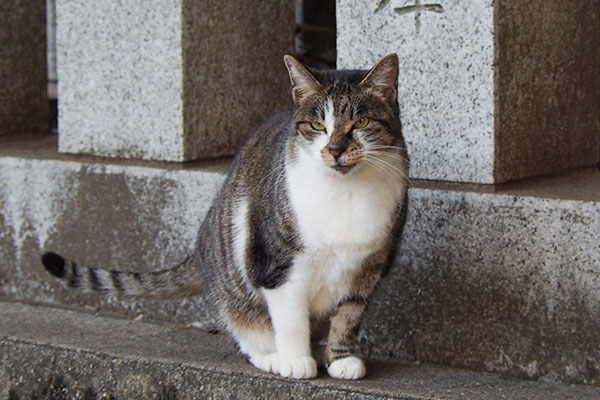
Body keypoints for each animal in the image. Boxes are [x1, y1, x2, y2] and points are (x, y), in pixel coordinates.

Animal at [41, 54, 408, 382]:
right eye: (318, 125)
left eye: (361, 123)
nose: (334, 150)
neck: (345, 191)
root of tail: (200, 245)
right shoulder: (276, 265)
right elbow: (290, 320)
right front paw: (295, 360)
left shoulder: (370, 267)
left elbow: (349, 316)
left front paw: (341, 359)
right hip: (236, 280)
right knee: (246, 325)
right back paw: (271, 355)